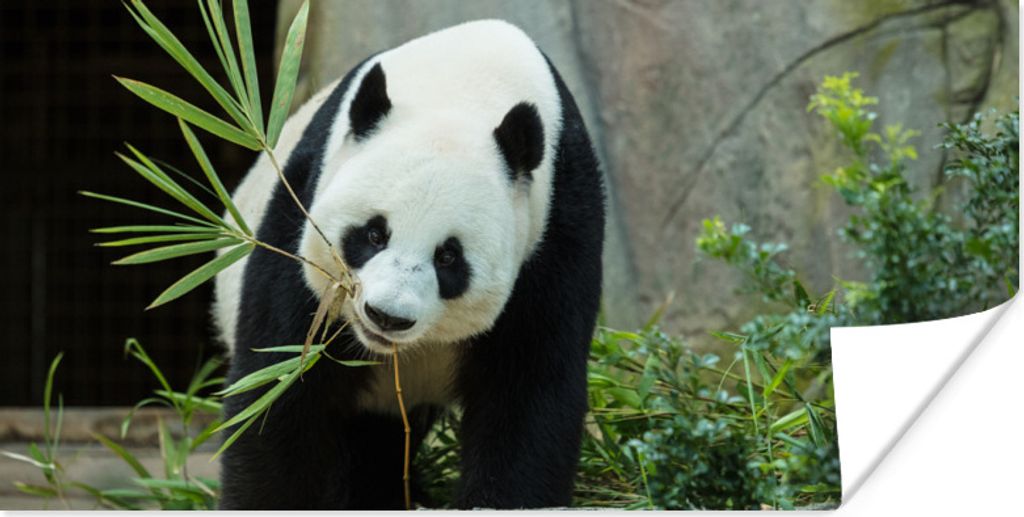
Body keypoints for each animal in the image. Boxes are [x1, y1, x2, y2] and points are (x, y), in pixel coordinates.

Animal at [212, 19, 605, 510]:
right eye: (374, 234)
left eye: (449, 256)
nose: (387, 316)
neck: (464, 89)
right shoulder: (302, 209)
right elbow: (280, 389)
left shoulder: (555, 231)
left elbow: (528, 396)